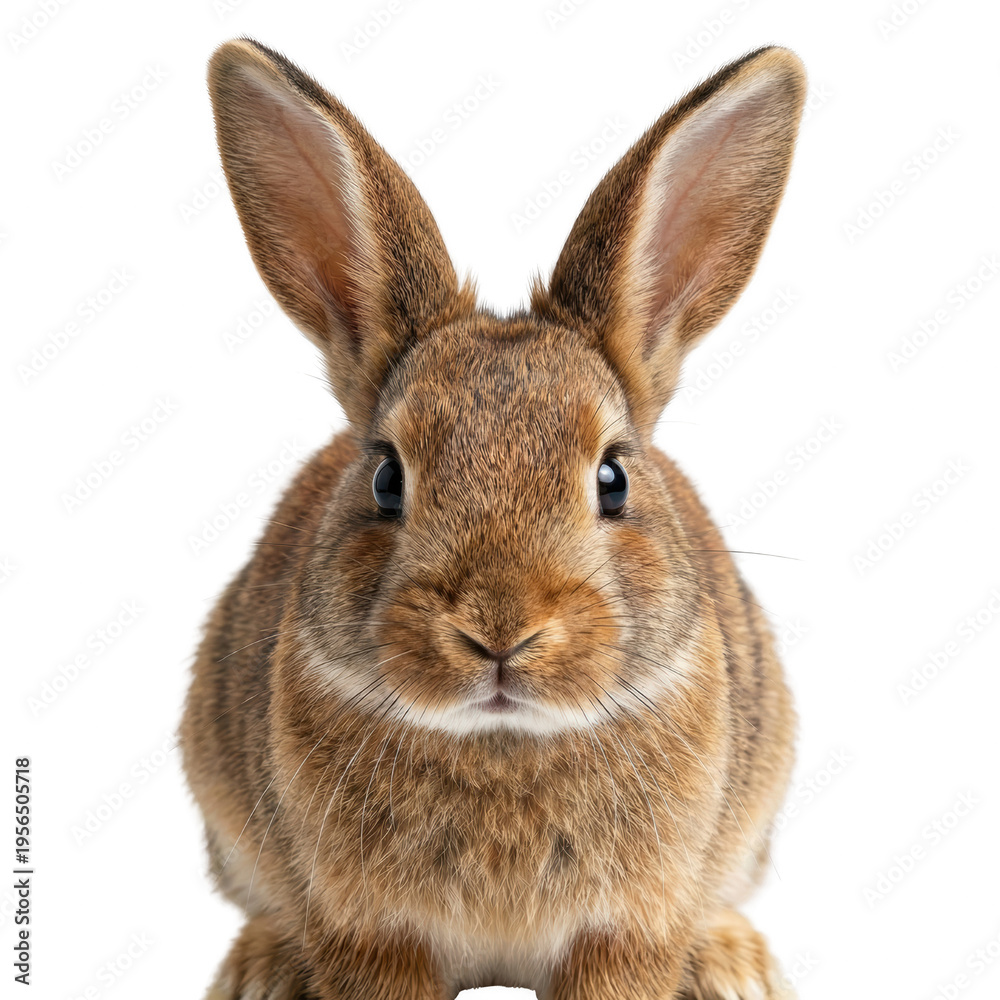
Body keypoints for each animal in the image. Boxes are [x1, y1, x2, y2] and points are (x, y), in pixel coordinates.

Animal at [180, 37, 806, 1000]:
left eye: (613, 479)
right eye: (387, 478)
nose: (501, 630)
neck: (502, 741)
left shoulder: (625, 932)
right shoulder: (373, 936)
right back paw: (260, 967)